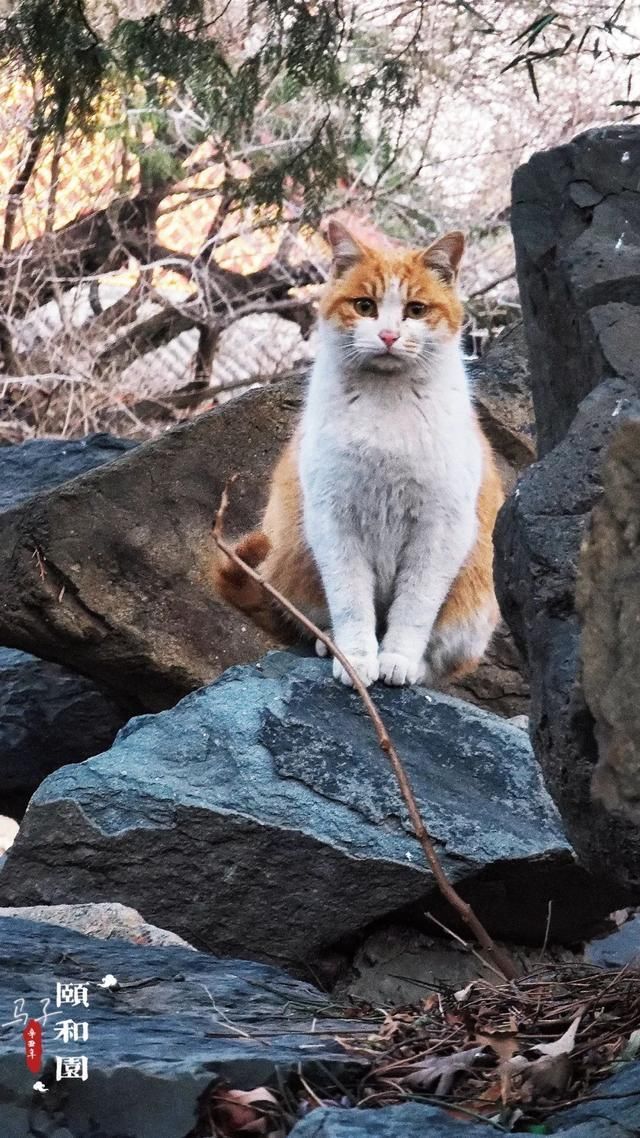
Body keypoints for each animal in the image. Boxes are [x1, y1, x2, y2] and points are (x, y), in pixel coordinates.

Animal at [214, 220, 503, 682]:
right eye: (365, 306)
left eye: (416, 310)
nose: (388, 335)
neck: (387, 402)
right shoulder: (335, 522)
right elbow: (351, 603)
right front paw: (356, 659)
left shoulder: (440, 529)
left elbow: (414, 609)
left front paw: (398, 660)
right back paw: (324, 643)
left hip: (473, 608)